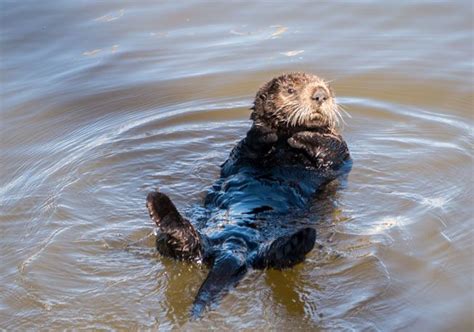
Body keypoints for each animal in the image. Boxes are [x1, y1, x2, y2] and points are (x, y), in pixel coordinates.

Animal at [146, 72, 350, 316]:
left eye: (326, 88)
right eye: (290, 90)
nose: (320, 95)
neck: (284, 145)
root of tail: (232, 251)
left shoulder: (339, 152)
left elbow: (331, 148)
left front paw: (302, 136)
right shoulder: (238, 154)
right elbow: (248, 146)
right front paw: (265, 133)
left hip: (260, 254)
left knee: (278, 258)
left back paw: (301, 239)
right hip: (187, 241)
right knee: (182, 244)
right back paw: (160, 207)